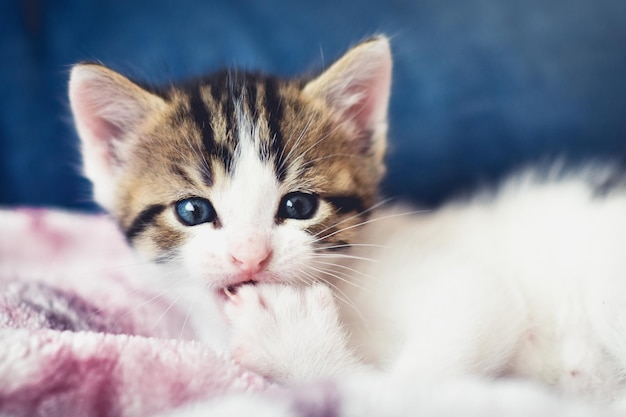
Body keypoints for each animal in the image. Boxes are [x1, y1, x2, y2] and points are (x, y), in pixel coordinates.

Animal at [70, 35, 624, 406]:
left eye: (298, 207)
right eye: (193, 211)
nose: (251, 255)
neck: (340, 287)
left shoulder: (469, 292)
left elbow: (409, 385)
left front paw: (295, 343)